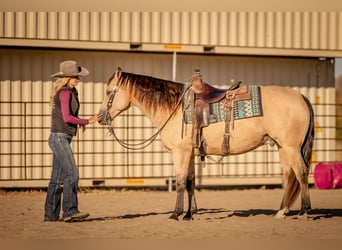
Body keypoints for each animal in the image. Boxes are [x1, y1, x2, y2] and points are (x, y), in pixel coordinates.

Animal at [97, 67, 314, 221]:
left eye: (108, 92)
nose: (99, 118)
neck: (175, 108)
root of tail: (300, 96)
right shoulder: (191, 154)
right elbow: (191, 183)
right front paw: (188, 214)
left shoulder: (180, 153)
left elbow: (180, 182)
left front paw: (176, 214)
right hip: (282, 147)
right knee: (289, 175)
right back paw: (282, 211)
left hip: (291, 148)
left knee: (301, 173)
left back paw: (304, 211)